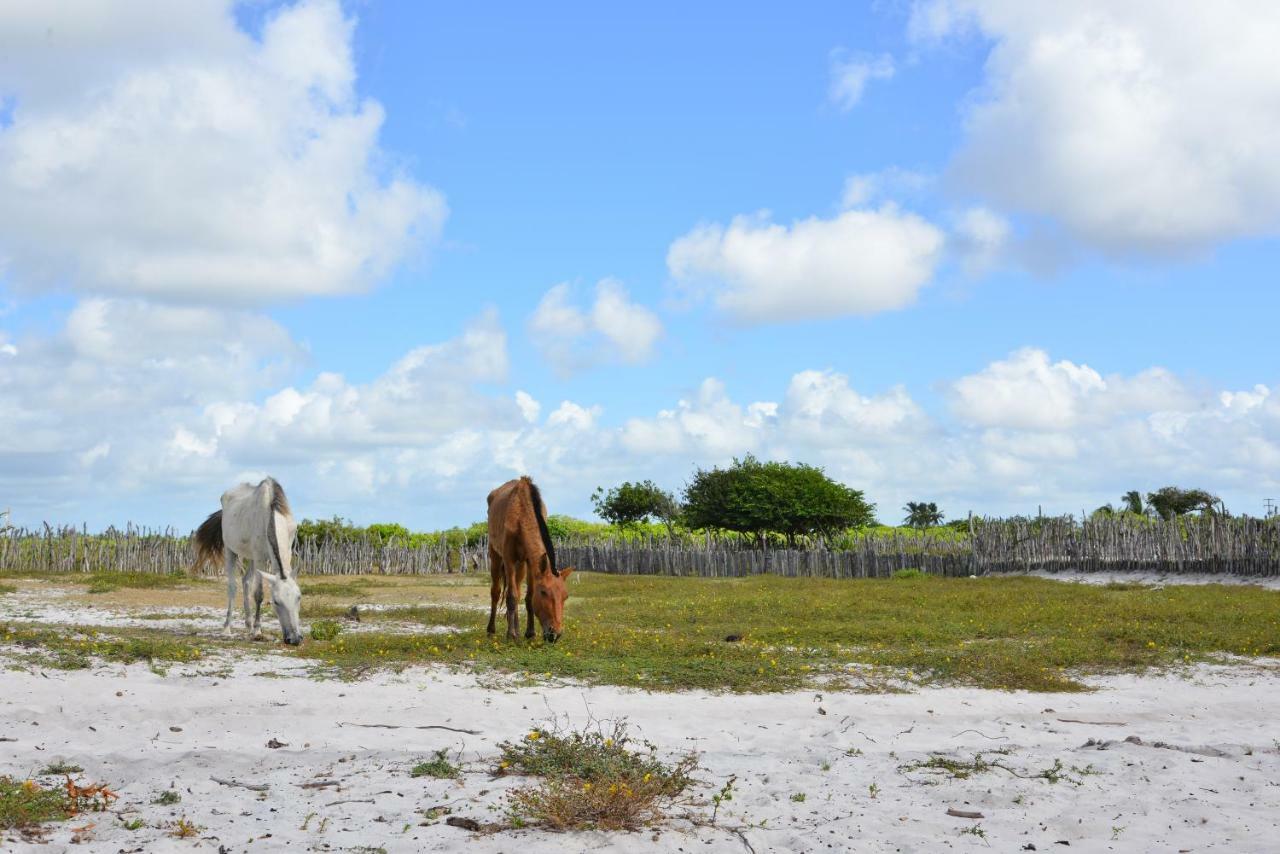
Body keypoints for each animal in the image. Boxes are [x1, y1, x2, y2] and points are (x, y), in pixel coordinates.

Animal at [193, 478, 303, 645]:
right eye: (276, 602)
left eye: (299, 597)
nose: (294, 639)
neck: (272, 514)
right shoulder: (260, 557)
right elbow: (259, 594)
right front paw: (258, 630)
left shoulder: (285, 552)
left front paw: (254, 627)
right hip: (231, 551)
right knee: (233, 587)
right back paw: (227, 627)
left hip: (251, 558)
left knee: (245, 581)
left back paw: (248, 624)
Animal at [483, 473, 576, 640]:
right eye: (544, 592)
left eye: (565, 596)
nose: (555, 634)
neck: (521, 513)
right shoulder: (508, 558)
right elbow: (511, 596)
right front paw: (511, 635)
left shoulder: (530, 561)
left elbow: (527, 597)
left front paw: (530, 633)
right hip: (495, 556)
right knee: (496, 592)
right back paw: (492, 629)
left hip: (520, 565)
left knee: (518, 590)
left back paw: (517, 629)